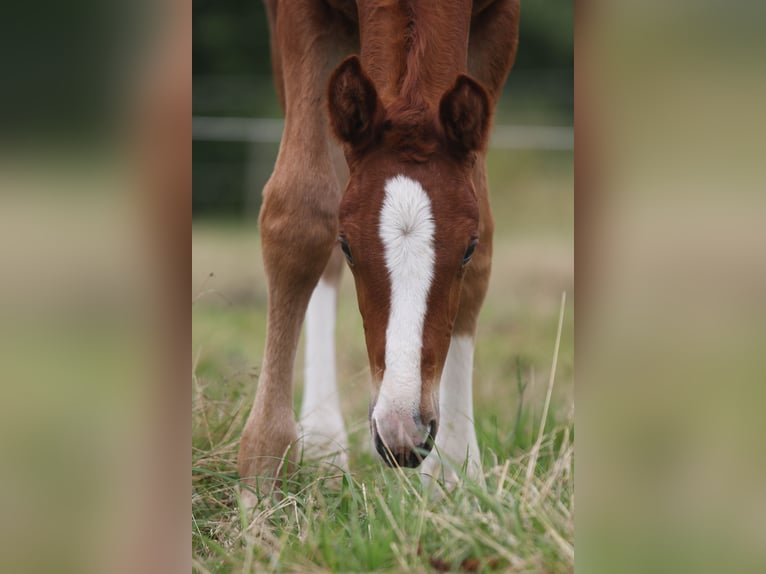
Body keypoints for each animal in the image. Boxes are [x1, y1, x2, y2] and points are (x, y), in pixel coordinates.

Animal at [237, 0, 520, 500]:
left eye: (466, 251)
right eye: (348, 245)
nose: (404, 434)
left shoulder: (500, 21)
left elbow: (486, 229)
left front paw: (455, 470)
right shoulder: (298, 15)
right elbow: (301, 213)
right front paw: (264, 465)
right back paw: (322, 439)